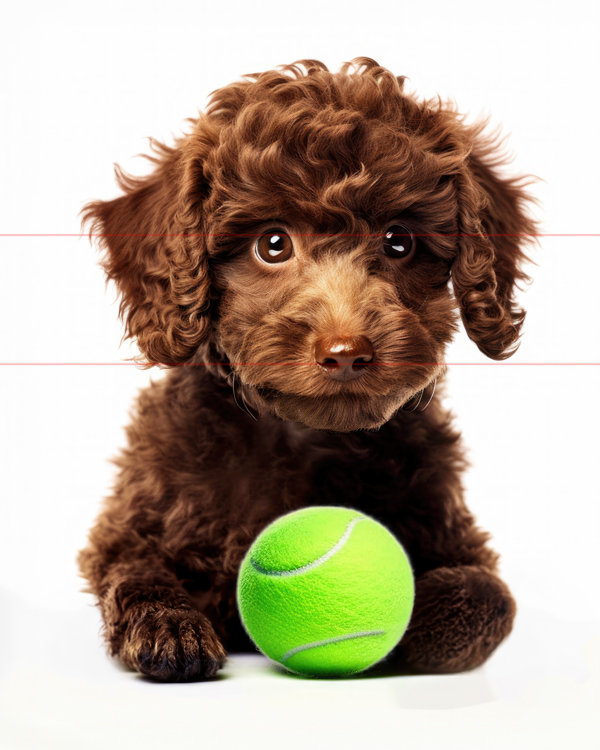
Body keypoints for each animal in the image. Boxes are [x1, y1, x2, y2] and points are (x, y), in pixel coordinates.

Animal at [78, 58, 536, 680]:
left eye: (398, 242)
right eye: (273, 244)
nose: (346, 352)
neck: (304, 438)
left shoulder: (455, 533)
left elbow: (489, 595)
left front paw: (411, 623)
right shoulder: (130, 526)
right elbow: (134, 572)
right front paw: (171, 628)